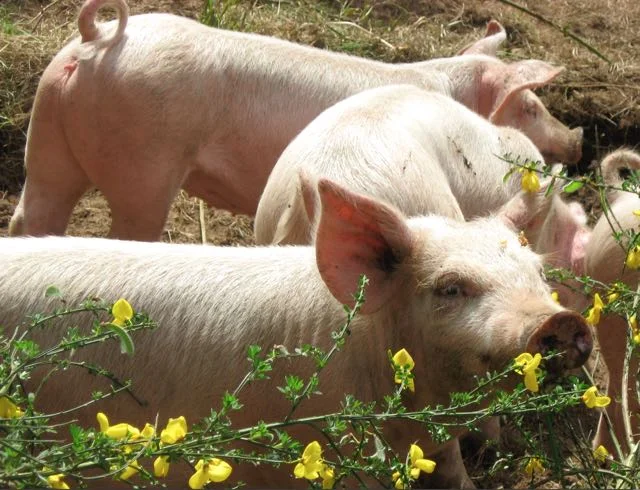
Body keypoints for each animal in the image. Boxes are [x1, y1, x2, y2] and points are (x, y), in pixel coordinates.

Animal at [8, 0, 582, 241]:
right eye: (531, 107)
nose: (577, 140)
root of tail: (101, 36)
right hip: (144, 166)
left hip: (47, 135)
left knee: (30, 217)